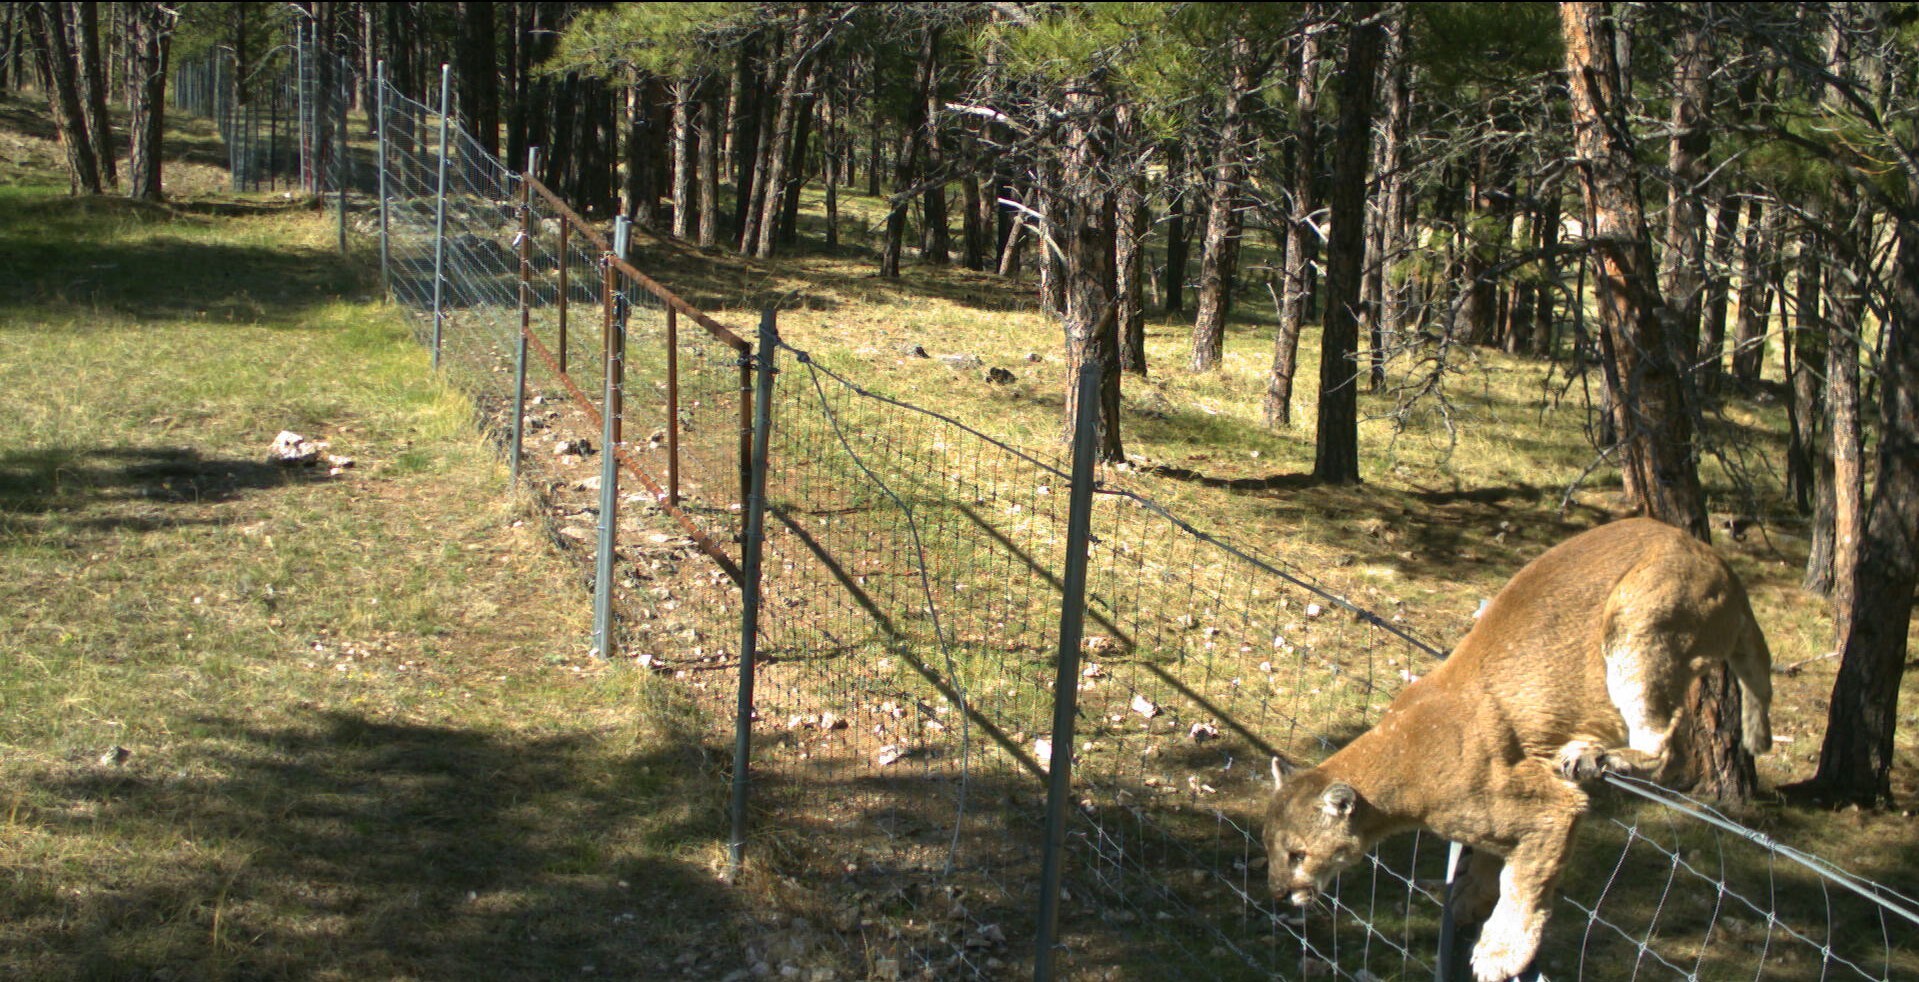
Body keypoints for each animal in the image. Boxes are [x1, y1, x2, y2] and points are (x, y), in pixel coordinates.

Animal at [1266, 517, 1773, 978]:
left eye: (1298, 855)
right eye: (1270, 849)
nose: (1277, 892)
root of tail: (1715, 557)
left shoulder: (1549, 807)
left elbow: (1524, 881)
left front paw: (1500, 951)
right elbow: (1496, 859)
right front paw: (1468, 897)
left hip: (1640, 623)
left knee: (1670, 750)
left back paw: (1596, 755)